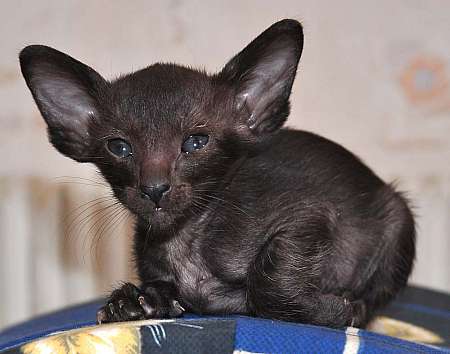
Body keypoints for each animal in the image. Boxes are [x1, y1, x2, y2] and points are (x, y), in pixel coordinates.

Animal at [20, 20, 414, 330]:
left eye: (196, 142)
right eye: (119, 147)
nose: (154, 189)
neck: (185, 237)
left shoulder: (310, 216)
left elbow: (269, 281)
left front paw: (335, 309)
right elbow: (160, 290)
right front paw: (134, 302)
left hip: (398, 219)